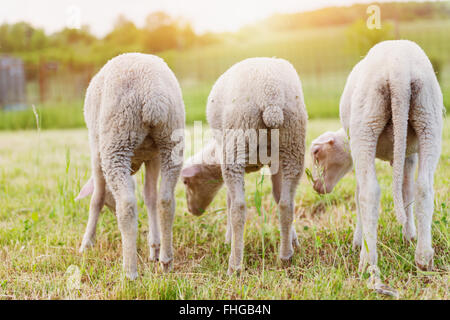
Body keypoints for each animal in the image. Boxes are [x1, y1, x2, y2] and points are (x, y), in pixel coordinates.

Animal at [75, 53, 185, 280]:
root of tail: (152, 96)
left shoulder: (96, 152)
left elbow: (96, 198)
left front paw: (86, 244)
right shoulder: (153, 157)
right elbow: (150, 197)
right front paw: (154, 247)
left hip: (116, 141)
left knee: (127, 204)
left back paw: (129, 272)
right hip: (171, 142)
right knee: (165, 201)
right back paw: (166, 261)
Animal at [181, 57, 308, 276]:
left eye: (186, 182)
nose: (192, 211)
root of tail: (270, 95)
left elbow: (229, 201)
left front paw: (227, 239)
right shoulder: (276, 162)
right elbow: (278, 196)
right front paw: (293, 241)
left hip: (237, 140)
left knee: (239, 208)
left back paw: (234, 265)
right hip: (293, 143)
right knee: (287, 204)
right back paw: (285, 257)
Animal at [310, 40, 442, 276]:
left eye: (317, 154)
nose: (317, 187)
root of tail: (399, 69)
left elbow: (358, 194)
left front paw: (357, 240)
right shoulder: (408, 155)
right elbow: (406, 191)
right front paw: (409, 235)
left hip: (366, 123)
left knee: (370, 192)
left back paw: (367, 261)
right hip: (428, 117)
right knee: (424, 187)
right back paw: (423, 258)